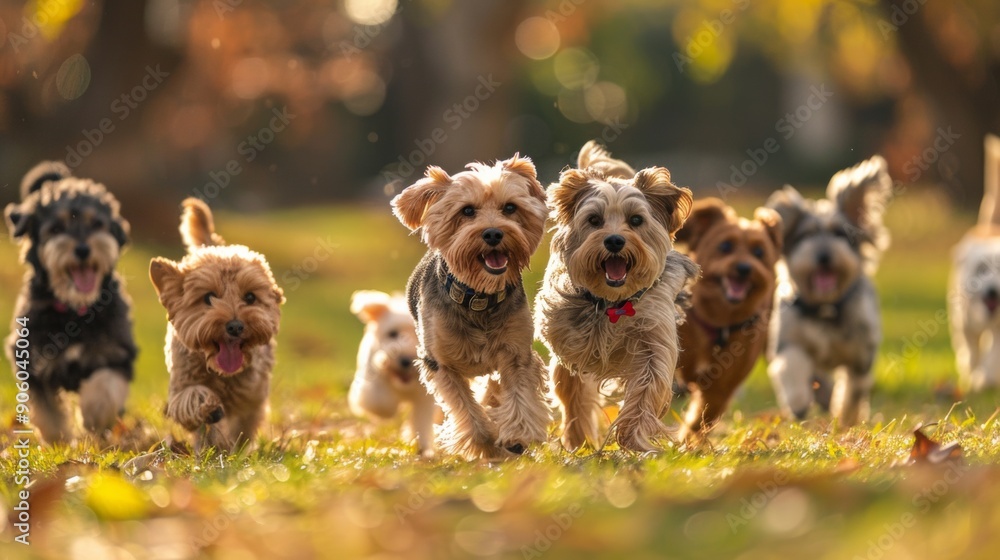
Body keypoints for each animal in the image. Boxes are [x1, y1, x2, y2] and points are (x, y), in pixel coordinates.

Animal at [148, 199, 284, 452]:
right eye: (208, 297)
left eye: (250, 297)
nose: (235, 326)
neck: (222, 375)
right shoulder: (180, 385)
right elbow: (191, 400)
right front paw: (209, 420)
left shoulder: (252, 396)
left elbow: (243, 423)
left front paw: (233, 448)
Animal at [350, 288, 440, 456]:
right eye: (392, 333)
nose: (405, 360)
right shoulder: (371, 378)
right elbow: (381, 402)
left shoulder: (425, 398)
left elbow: (422, 421)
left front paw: (422, 447)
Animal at [390, 153, 552, 460]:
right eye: (467, 211)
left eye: (510, 208)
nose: (493, 234)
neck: (478, 297)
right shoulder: (439, 363)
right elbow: (465, 407)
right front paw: (486, 444)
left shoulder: (516, 351)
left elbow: (518, 393)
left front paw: (516, 435)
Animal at [672, 197, 780, 442]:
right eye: (725, 247)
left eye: (759, 252)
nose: (744, 268)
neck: (718, 323)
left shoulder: (721, 387)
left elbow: (700, 420)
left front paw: (686, 443)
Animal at [764, 155, 892, 422]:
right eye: (806, 235)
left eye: (839, 234)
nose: (823, 256)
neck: (824, 306)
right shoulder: (787, 339)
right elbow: (791, 364)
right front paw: (798, 401)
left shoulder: (861, 353)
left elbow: (854, 389)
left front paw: (847, 419)